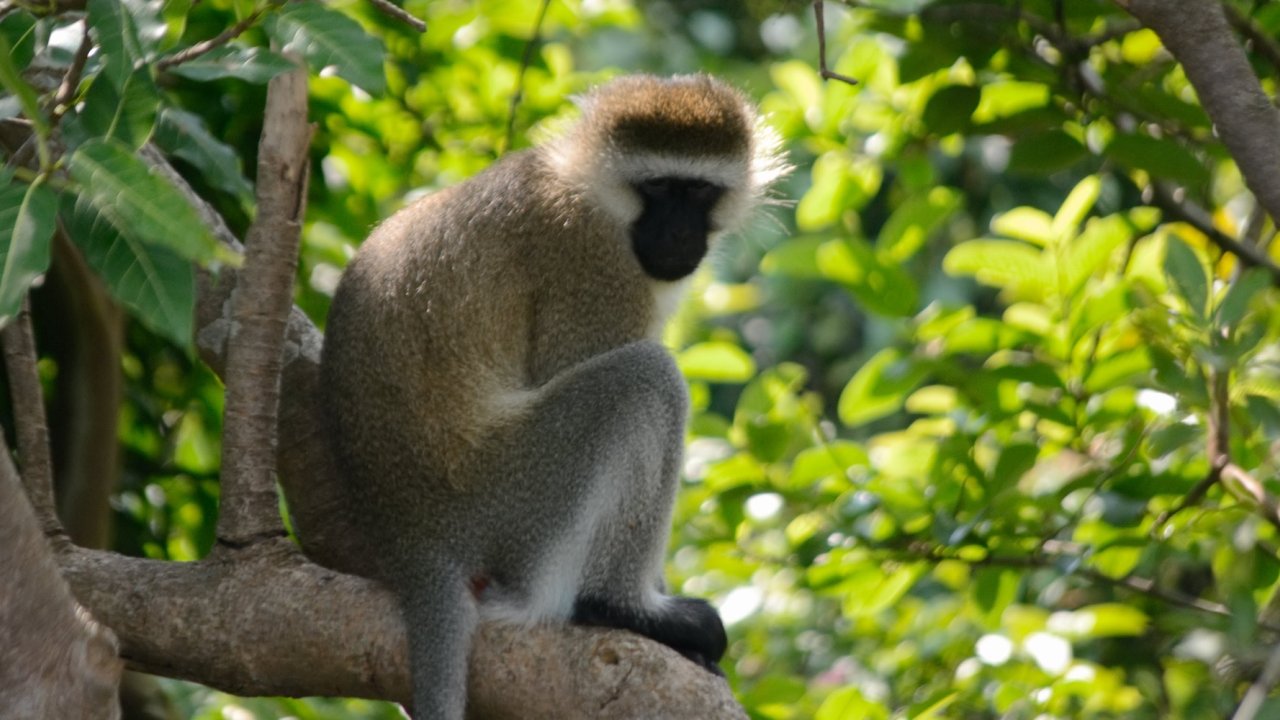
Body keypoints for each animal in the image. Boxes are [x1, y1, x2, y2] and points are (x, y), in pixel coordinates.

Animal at [319, 74, 786, 718]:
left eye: (698, 191)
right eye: (658, 188)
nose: (677, 234)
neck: (589, 191)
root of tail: (413, 536)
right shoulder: (592, 264)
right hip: (517, 492)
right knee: (646, 380)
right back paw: (616, 605)